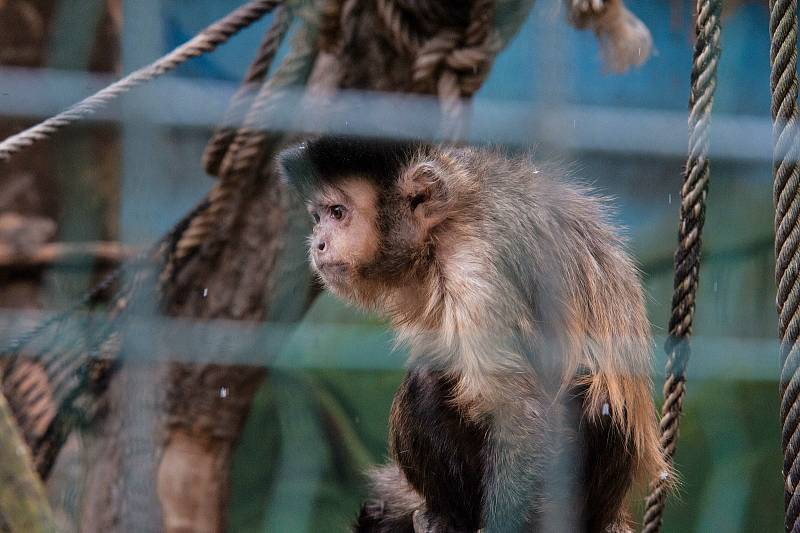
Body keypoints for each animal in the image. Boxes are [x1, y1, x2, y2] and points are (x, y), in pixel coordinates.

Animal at [278, 138, 664, 532]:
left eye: (338, 213)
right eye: (318, 218)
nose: (317, 243)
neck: (444, 225)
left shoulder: (475, 266)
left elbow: (518, 414)